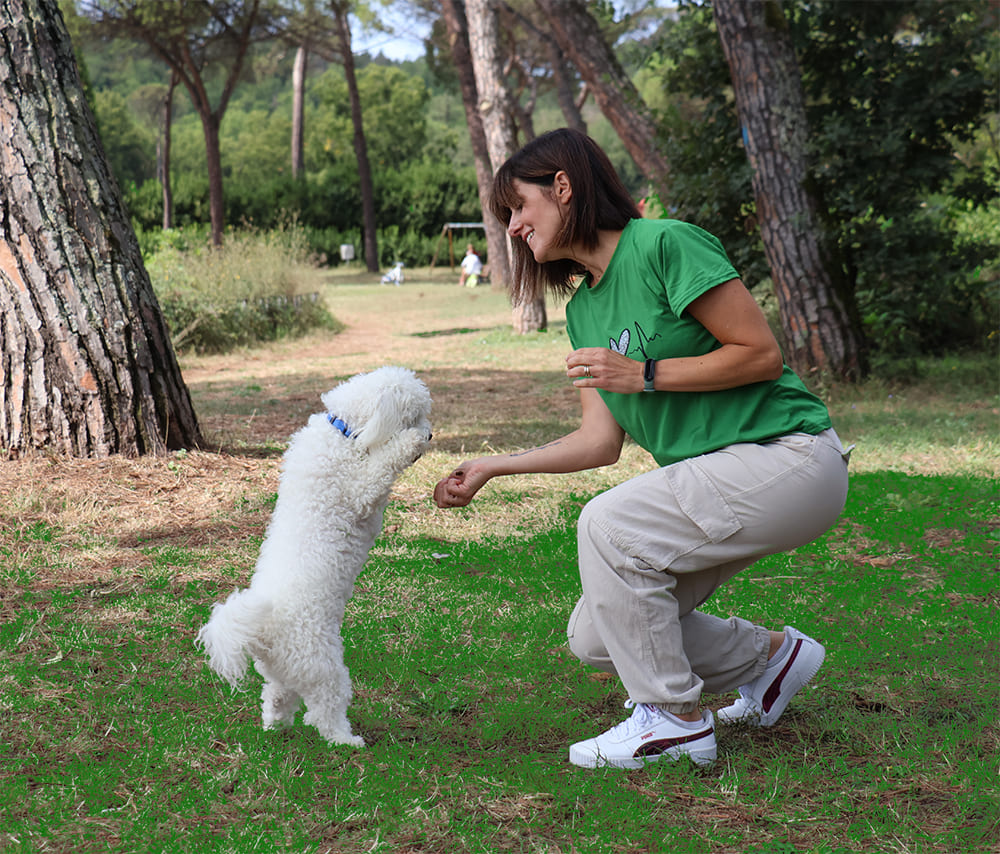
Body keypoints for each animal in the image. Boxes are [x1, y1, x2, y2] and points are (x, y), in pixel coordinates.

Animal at [194, 368, 430, 748]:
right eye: (414, 416)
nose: (430, 433)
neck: (342, 431)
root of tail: (265, 633)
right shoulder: (359, 489)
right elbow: (382, 467)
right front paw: (411, 443)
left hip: (286, 671)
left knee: (275, 697)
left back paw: (275, 727)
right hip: (324, 668)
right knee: (324, 711)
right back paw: (346, 740)